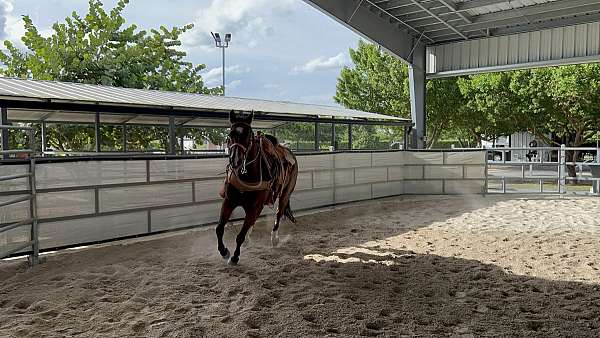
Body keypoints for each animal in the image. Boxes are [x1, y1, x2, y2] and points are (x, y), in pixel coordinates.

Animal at [217, 110, 298, 264]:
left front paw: (235, 257)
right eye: (230, 135)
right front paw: (224, 252)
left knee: (278, 213)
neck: (246, 175)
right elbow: (219, 228)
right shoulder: (229, 202)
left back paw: (274, 239)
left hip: (285, 194)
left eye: (248, 135)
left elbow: (240, 236)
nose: (235, 160)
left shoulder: (254, 206)